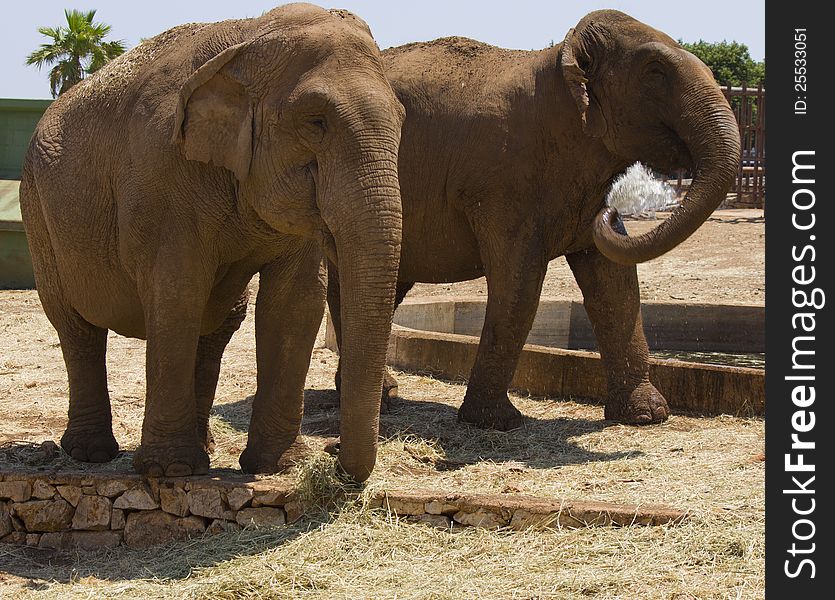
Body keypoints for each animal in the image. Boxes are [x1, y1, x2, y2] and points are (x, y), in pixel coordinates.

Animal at [21, 3, 406, 482]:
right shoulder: (162, 178)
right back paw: (92, 454)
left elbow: (295, 303)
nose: (333, 451)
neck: (250, 37)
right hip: (37, 212)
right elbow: (177, 292)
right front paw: (169, 471)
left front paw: (278, 466)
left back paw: (203, 447)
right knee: (75, 325)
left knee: (216, 327)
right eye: (316, 121)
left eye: (402, 119)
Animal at [328, 10, 744, 432]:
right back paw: (377, 401)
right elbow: (520, 283)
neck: (558, 60)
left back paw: (378, 398)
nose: (613, 212)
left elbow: (616, 285)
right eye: (655, 71)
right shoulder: (501, 182)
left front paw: (648, 416)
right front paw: (498, 422)